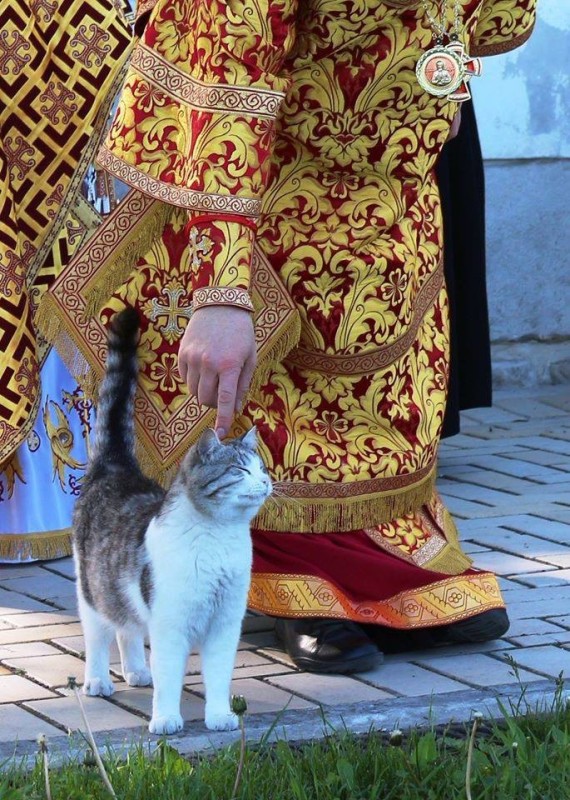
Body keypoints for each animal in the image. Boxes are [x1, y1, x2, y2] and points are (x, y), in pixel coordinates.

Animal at [72, 310, 272, 736]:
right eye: (239, 471)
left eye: (262, 469)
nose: (266, 483)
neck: (219, 539)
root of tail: (115, 466)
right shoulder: (170, 624)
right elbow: (169, 678)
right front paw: (165, 719)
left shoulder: (225, 625)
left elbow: (219, 677)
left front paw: (220, 716)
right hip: (92, 590)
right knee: (99, 635)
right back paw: (98, 680)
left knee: (127, 629)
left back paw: (135, 670)